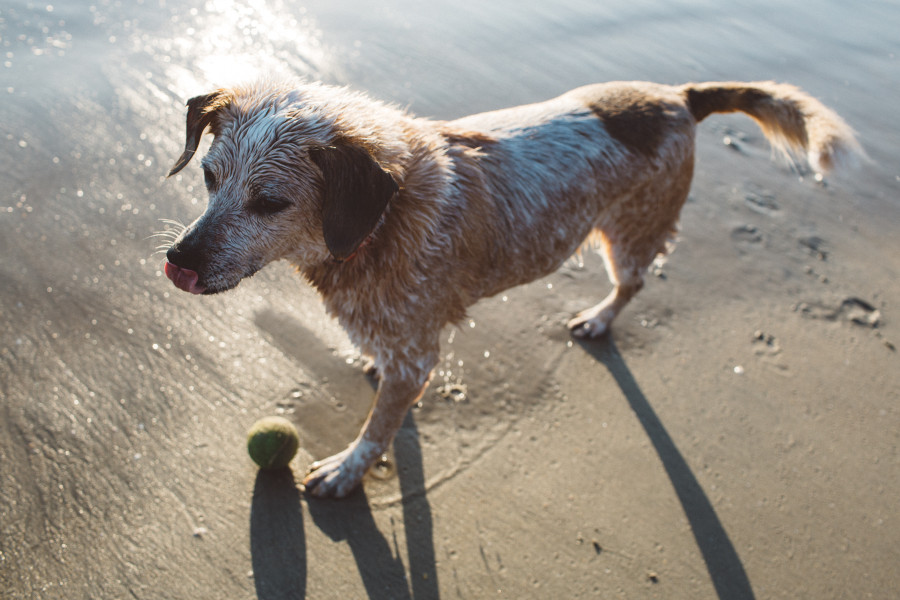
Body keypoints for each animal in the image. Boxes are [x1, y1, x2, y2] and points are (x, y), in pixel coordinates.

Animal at [162, 77, 856, 496]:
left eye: (270, 202)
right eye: (209, 177)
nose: (177, 261)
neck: (384, 222)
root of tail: (679, 96)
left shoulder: (418, 355)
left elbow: (379, 428)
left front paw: (348, 471)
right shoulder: (399, 342)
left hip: (631, 234)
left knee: (631, 285)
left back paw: (599, 319)